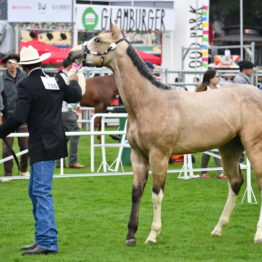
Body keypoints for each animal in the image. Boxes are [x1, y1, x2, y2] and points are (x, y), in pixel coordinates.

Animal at [69, 23, 262, 246]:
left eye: (98, 40)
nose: (71, 54)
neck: (149, 101)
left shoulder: (159, 156)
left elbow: (156, 194)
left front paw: (152, 234)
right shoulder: (138, 156)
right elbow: (136, 193)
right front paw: (131, 235)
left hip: (254, 147)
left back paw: (258, 234)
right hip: (229, 148)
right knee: (235, 182)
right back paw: (217, 229)